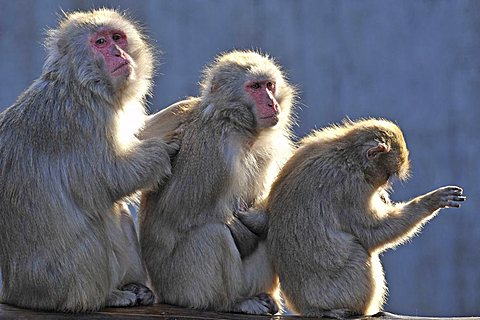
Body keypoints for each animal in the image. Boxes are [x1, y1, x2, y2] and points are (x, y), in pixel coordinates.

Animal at [0, 9, 177, 312]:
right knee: (99, 216)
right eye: (101, 42)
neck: (82, 84)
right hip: (55, 287)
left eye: (117, 38)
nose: (119, 53)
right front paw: (164, 149)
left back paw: (133, 287)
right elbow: (110, 178)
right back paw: (107, 297)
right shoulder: (84, 119)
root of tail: (13, 292)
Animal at [139, 50, 296, 316]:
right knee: (213, 234)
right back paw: (233, 302)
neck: (236, 126)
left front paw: (252, 219)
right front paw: (239, 230)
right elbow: (179, 208)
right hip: (182, 286)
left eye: (269, 85)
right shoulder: (212, 149)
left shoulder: (264, 152)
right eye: (255, 87)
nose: (272, 104)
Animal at [266, 118, 464, 318]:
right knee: (358, 252)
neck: (347, 156)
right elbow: (373, 234)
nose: (385, 185)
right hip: (336, 294)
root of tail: (306, 308)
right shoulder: (352, 188)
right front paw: (429, 202)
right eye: (387, 175)